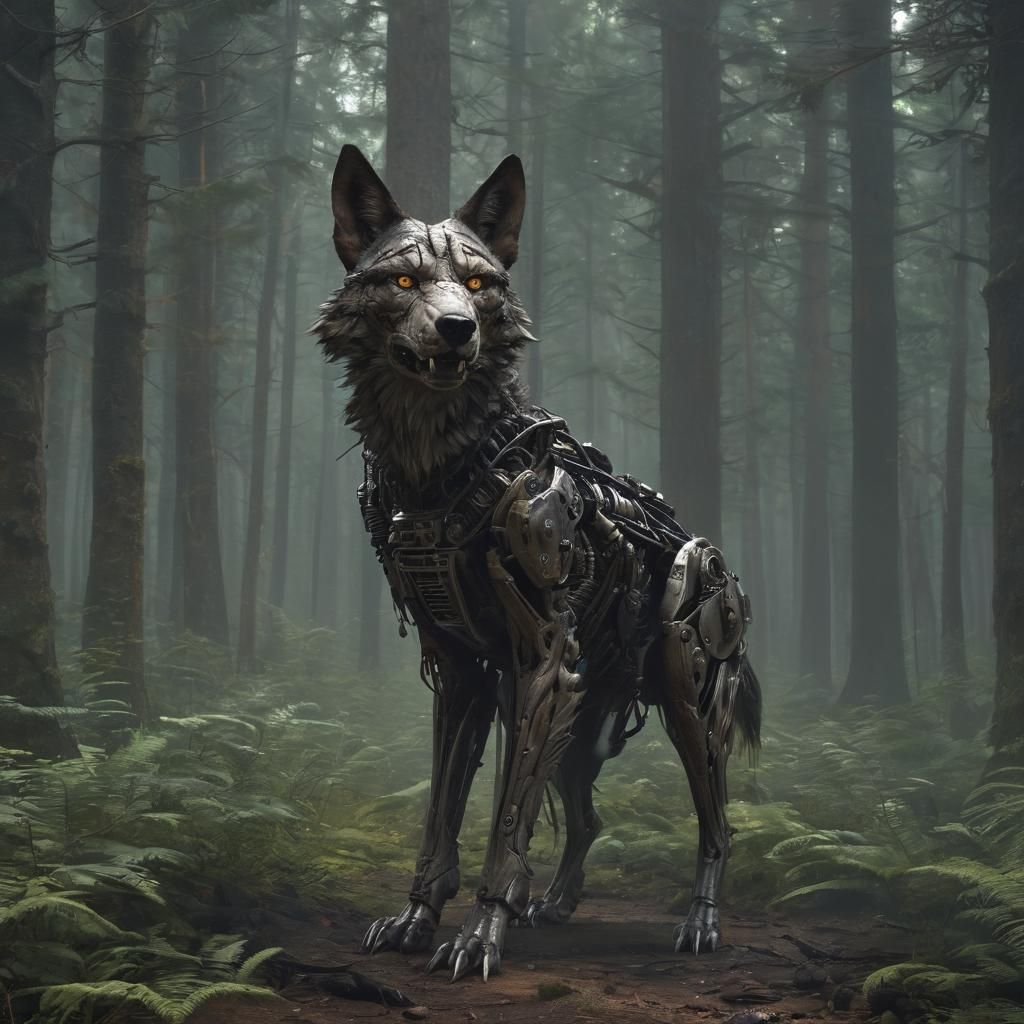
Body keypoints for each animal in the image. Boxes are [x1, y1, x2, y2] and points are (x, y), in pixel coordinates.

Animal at [315, 145, 762, 983]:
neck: (445, 463)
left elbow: (503, 823)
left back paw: (699, 922)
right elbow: (442, 815)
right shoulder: (464, 675)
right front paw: (418, 917)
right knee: (587, 817)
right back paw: (553, 902)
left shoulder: (542, 665)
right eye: (404, 282)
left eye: (479, 284)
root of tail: (717, 559)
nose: (457, 330)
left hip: (683, 695)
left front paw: (477, 933)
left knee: (716, 821)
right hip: (582, 723)